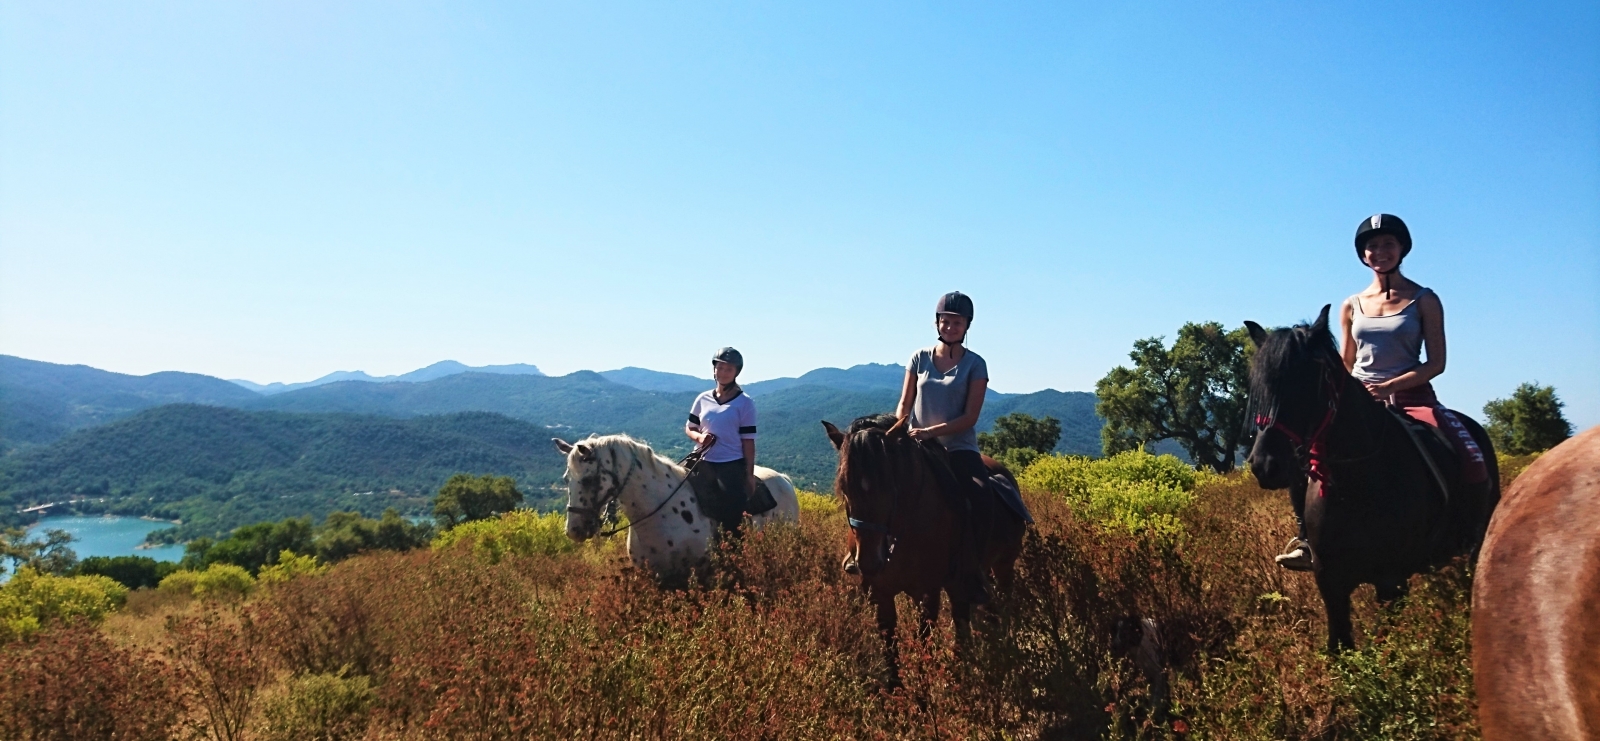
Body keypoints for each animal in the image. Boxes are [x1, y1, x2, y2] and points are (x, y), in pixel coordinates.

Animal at [819, 416, 1030, 659]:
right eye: (843, 488)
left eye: (891, 485)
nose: (869, 562)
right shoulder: (881, 593)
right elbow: (890, 652)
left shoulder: (928, 592)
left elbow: (924, 642)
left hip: (1004, 565)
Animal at [1241, 304, 1491, 652]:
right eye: (1260, 383)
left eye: (1309, 378)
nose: (1265, 465)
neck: (1356, 486)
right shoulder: (1330, 582)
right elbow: (1340, 648)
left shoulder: (1391, 583)